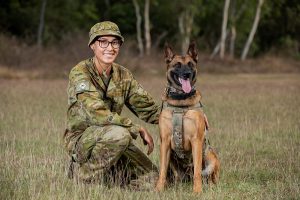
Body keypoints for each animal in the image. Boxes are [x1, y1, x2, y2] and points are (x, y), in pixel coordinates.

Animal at [156, 42, 219, 194]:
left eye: (191, 64)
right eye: (177, 65)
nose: (187, 74)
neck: (180, 101)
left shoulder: (196, 141)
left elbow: (197, 171)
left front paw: (197, 191)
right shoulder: (165, 142)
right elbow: (162, 171)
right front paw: (158, 189)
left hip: (211, 155)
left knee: (208, 176)